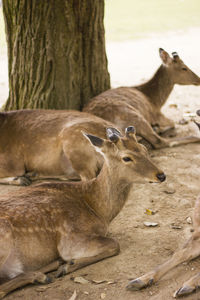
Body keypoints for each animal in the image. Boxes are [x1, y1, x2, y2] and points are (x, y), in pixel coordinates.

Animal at [0, 126, 166, 298]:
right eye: (127, 158)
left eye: (144, 149)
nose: (161, 175)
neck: (98, 210)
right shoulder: (70, 239)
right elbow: (115, 244)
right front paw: (68, 265)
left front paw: (65, 264)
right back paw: (45, 274)